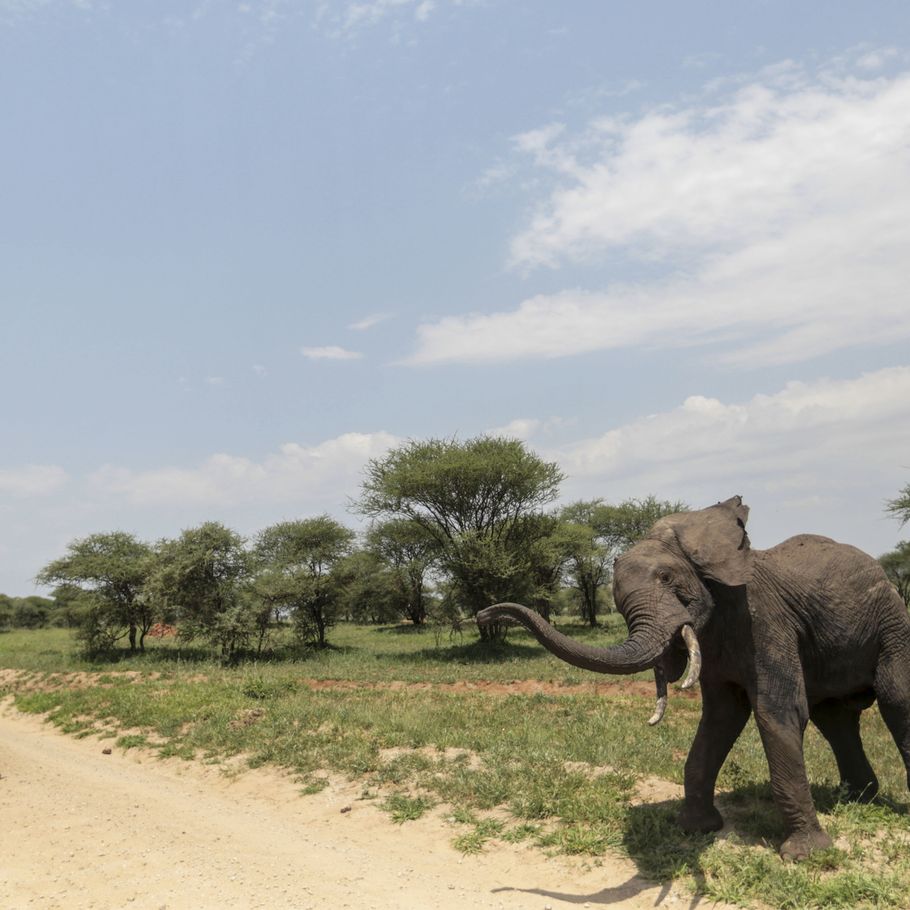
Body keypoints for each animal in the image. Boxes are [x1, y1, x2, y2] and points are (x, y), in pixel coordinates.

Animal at [478, 498, 910, 864]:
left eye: (667, 577)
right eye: (617, 601)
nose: (484, 614)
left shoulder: (765, 622)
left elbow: (777, 712)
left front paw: (804, 857)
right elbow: (720, 718)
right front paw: (695, 829)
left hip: (892, 622)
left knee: (895, 699)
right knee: (834, 717)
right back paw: (857, 797)